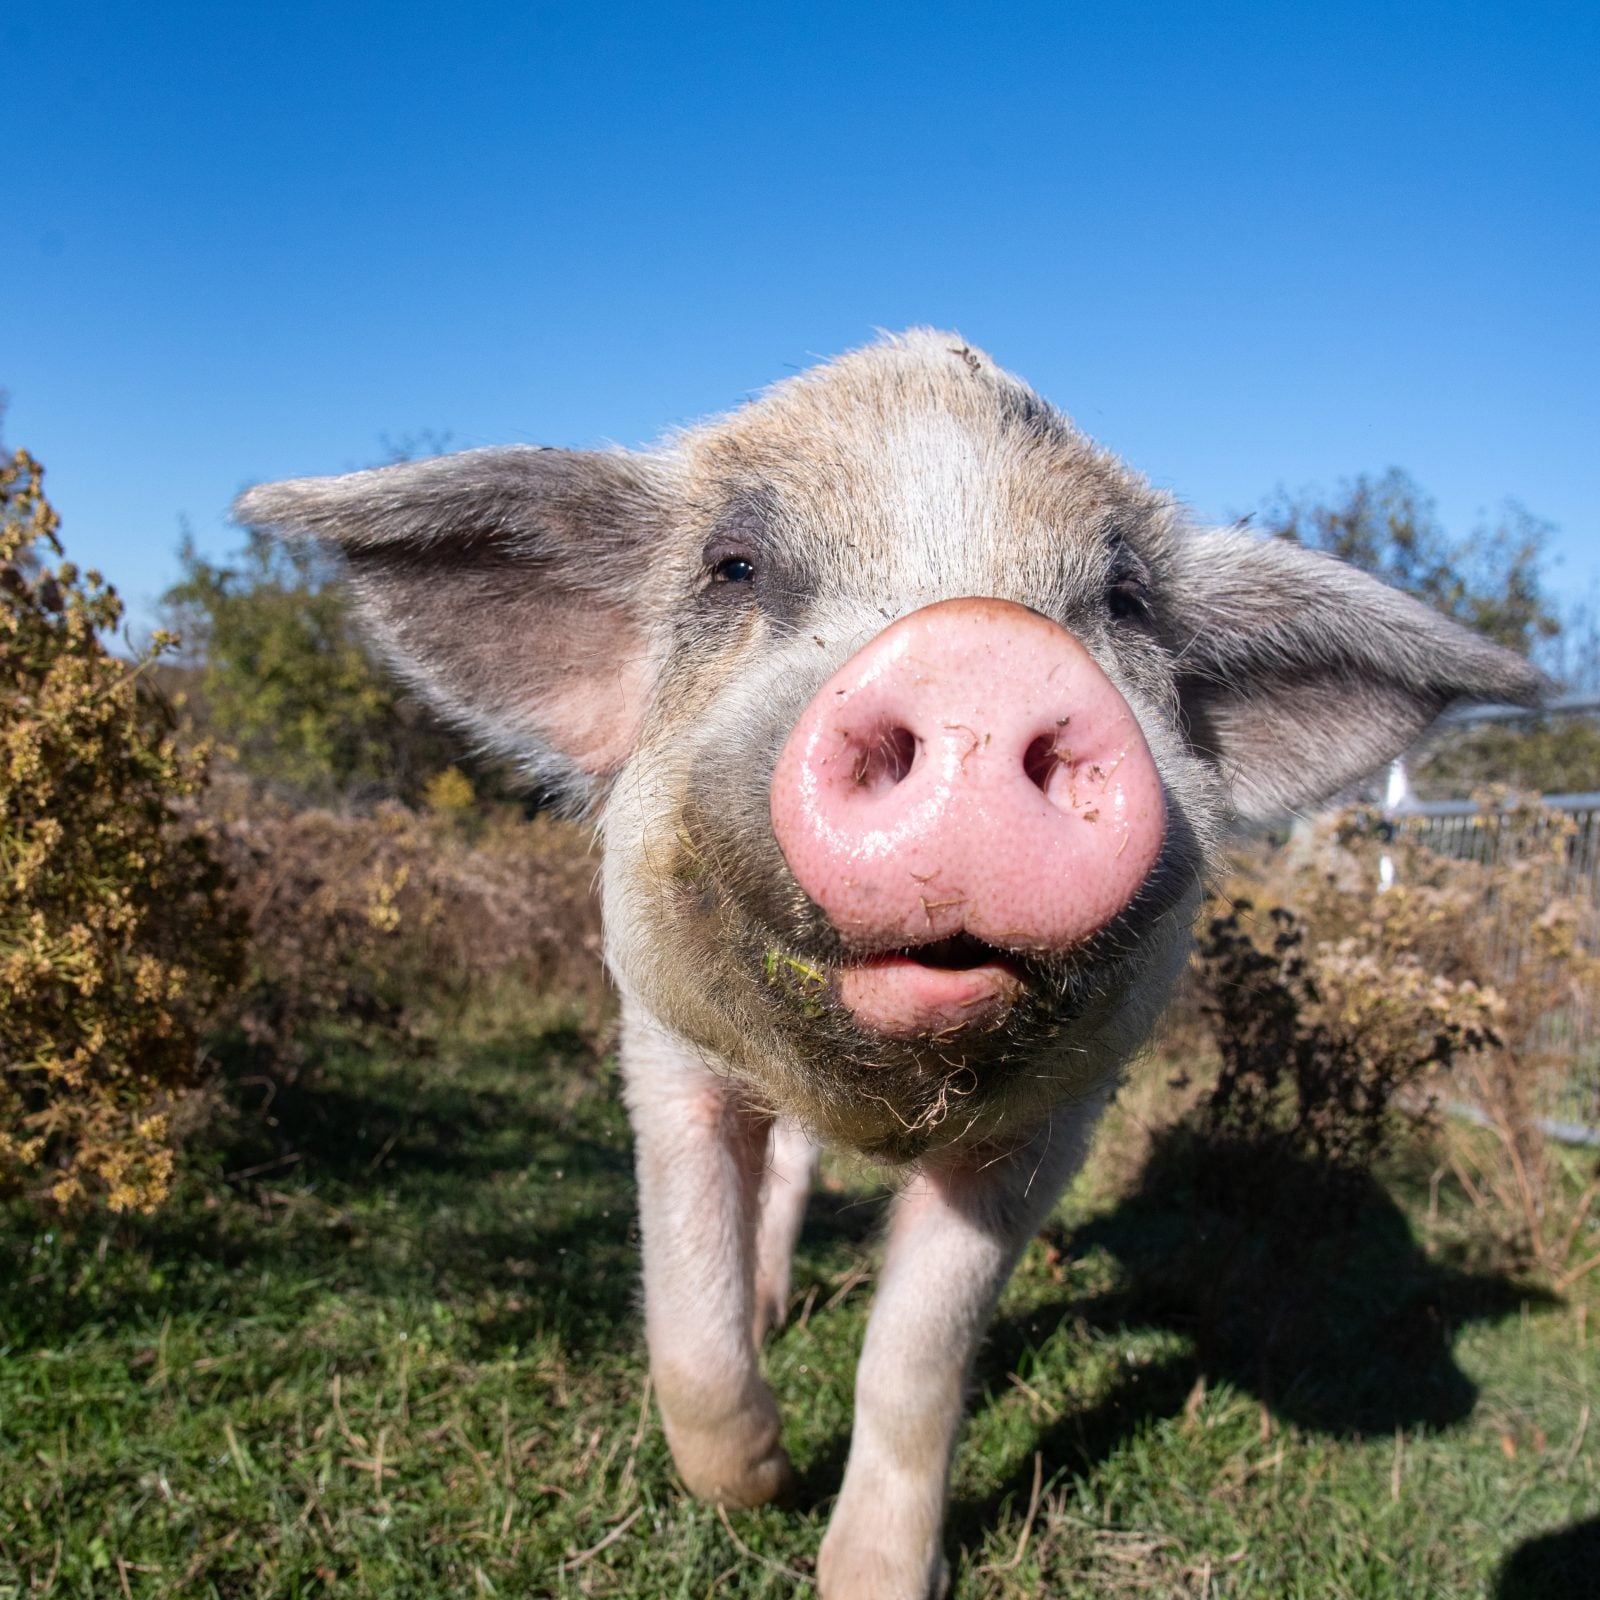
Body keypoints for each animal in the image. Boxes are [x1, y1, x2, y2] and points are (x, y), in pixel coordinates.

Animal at [237, 331, 1543, 1598]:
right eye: (733, 567)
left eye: (1124, 599)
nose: (981, 651)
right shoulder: (661, 1047)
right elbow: (688, 1303)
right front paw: (756, 1482)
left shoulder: (1050, 1127)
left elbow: (916, 1355)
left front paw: (871, 1579)